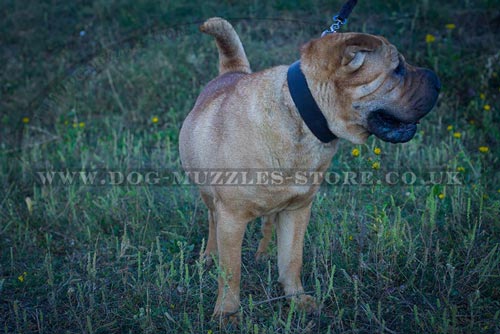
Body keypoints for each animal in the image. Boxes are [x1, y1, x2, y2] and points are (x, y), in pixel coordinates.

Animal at [178, 17, 440, 320]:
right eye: (398, 69)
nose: (437, 81)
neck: (301, 117)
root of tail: (232, 71)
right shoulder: (231, 216)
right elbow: (232, 271)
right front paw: (228, 314)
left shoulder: (298, 209)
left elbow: (292, 259)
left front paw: (296, 299)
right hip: (208, 193)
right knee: (212, 220)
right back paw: (210, 256)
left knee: (268, 222)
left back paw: (262, 255)